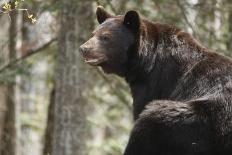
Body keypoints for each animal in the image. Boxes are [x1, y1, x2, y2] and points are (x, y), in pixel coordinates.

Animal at [79, 6, 232, 155]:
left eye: (105, 37)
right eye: (93, 34)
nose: (83, 48)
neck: (145, 63)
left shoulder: (156, 82)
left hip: (197, 119)